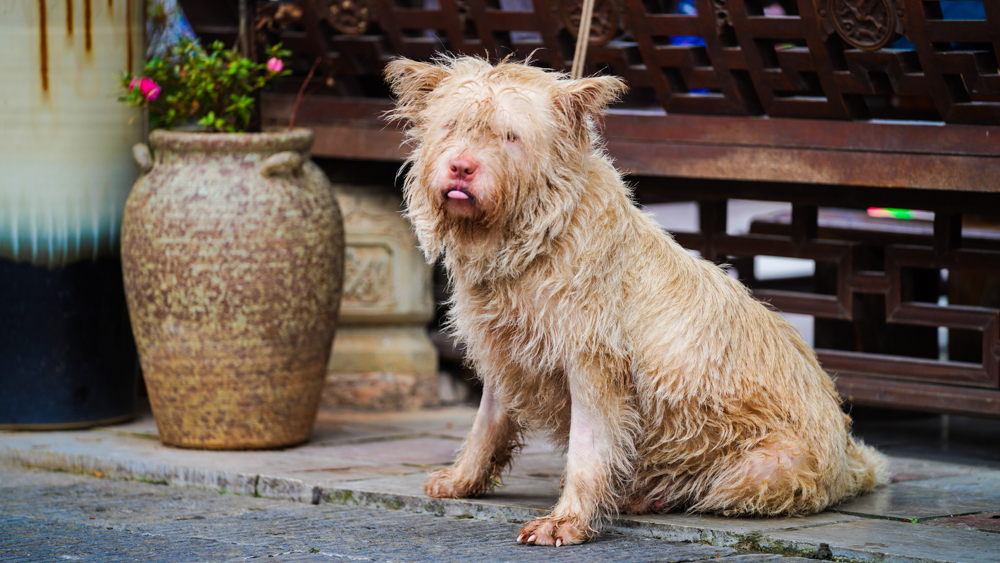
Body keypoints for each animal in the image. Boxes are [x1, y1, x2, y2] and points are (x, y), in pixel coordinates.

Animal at [384, 56, 892, 548]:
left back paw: (646, 495)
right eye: (451, 126)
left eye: (510, 136)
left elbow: (587, 449)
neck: (536, 240)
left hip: (761, 471)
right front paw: (462, 479)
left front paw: (567, 520)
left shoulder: (593, 366)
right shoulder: (506, 351)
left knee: (710, 491)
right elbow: (486, 423)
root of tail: (852, 461)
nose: (461, 167)